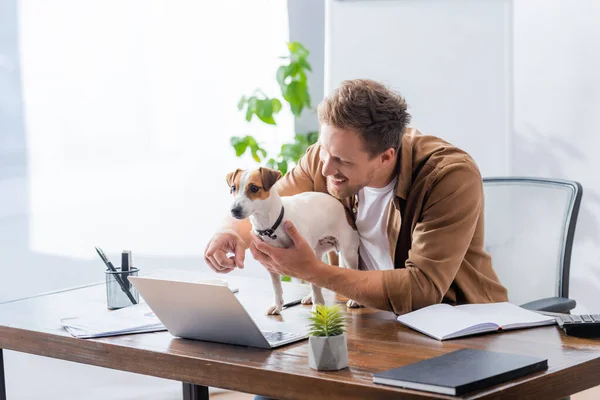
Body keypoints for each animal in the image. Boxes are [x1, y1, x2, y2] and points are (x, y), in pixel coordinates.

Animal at [226, 167, 360, 314]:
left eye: (254, 188)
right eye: (233, 188)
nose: (234, 210)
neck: (272, 226)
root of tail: (343, 208)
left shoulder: (305, 259)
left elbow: (313, 283)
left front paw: (318, 305)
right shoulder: (271, 265)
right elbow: (277, 287)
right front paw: (278, 305)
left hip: (348, 253)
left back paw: (353, 300)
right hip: (317, 252)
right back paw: (310, 297)